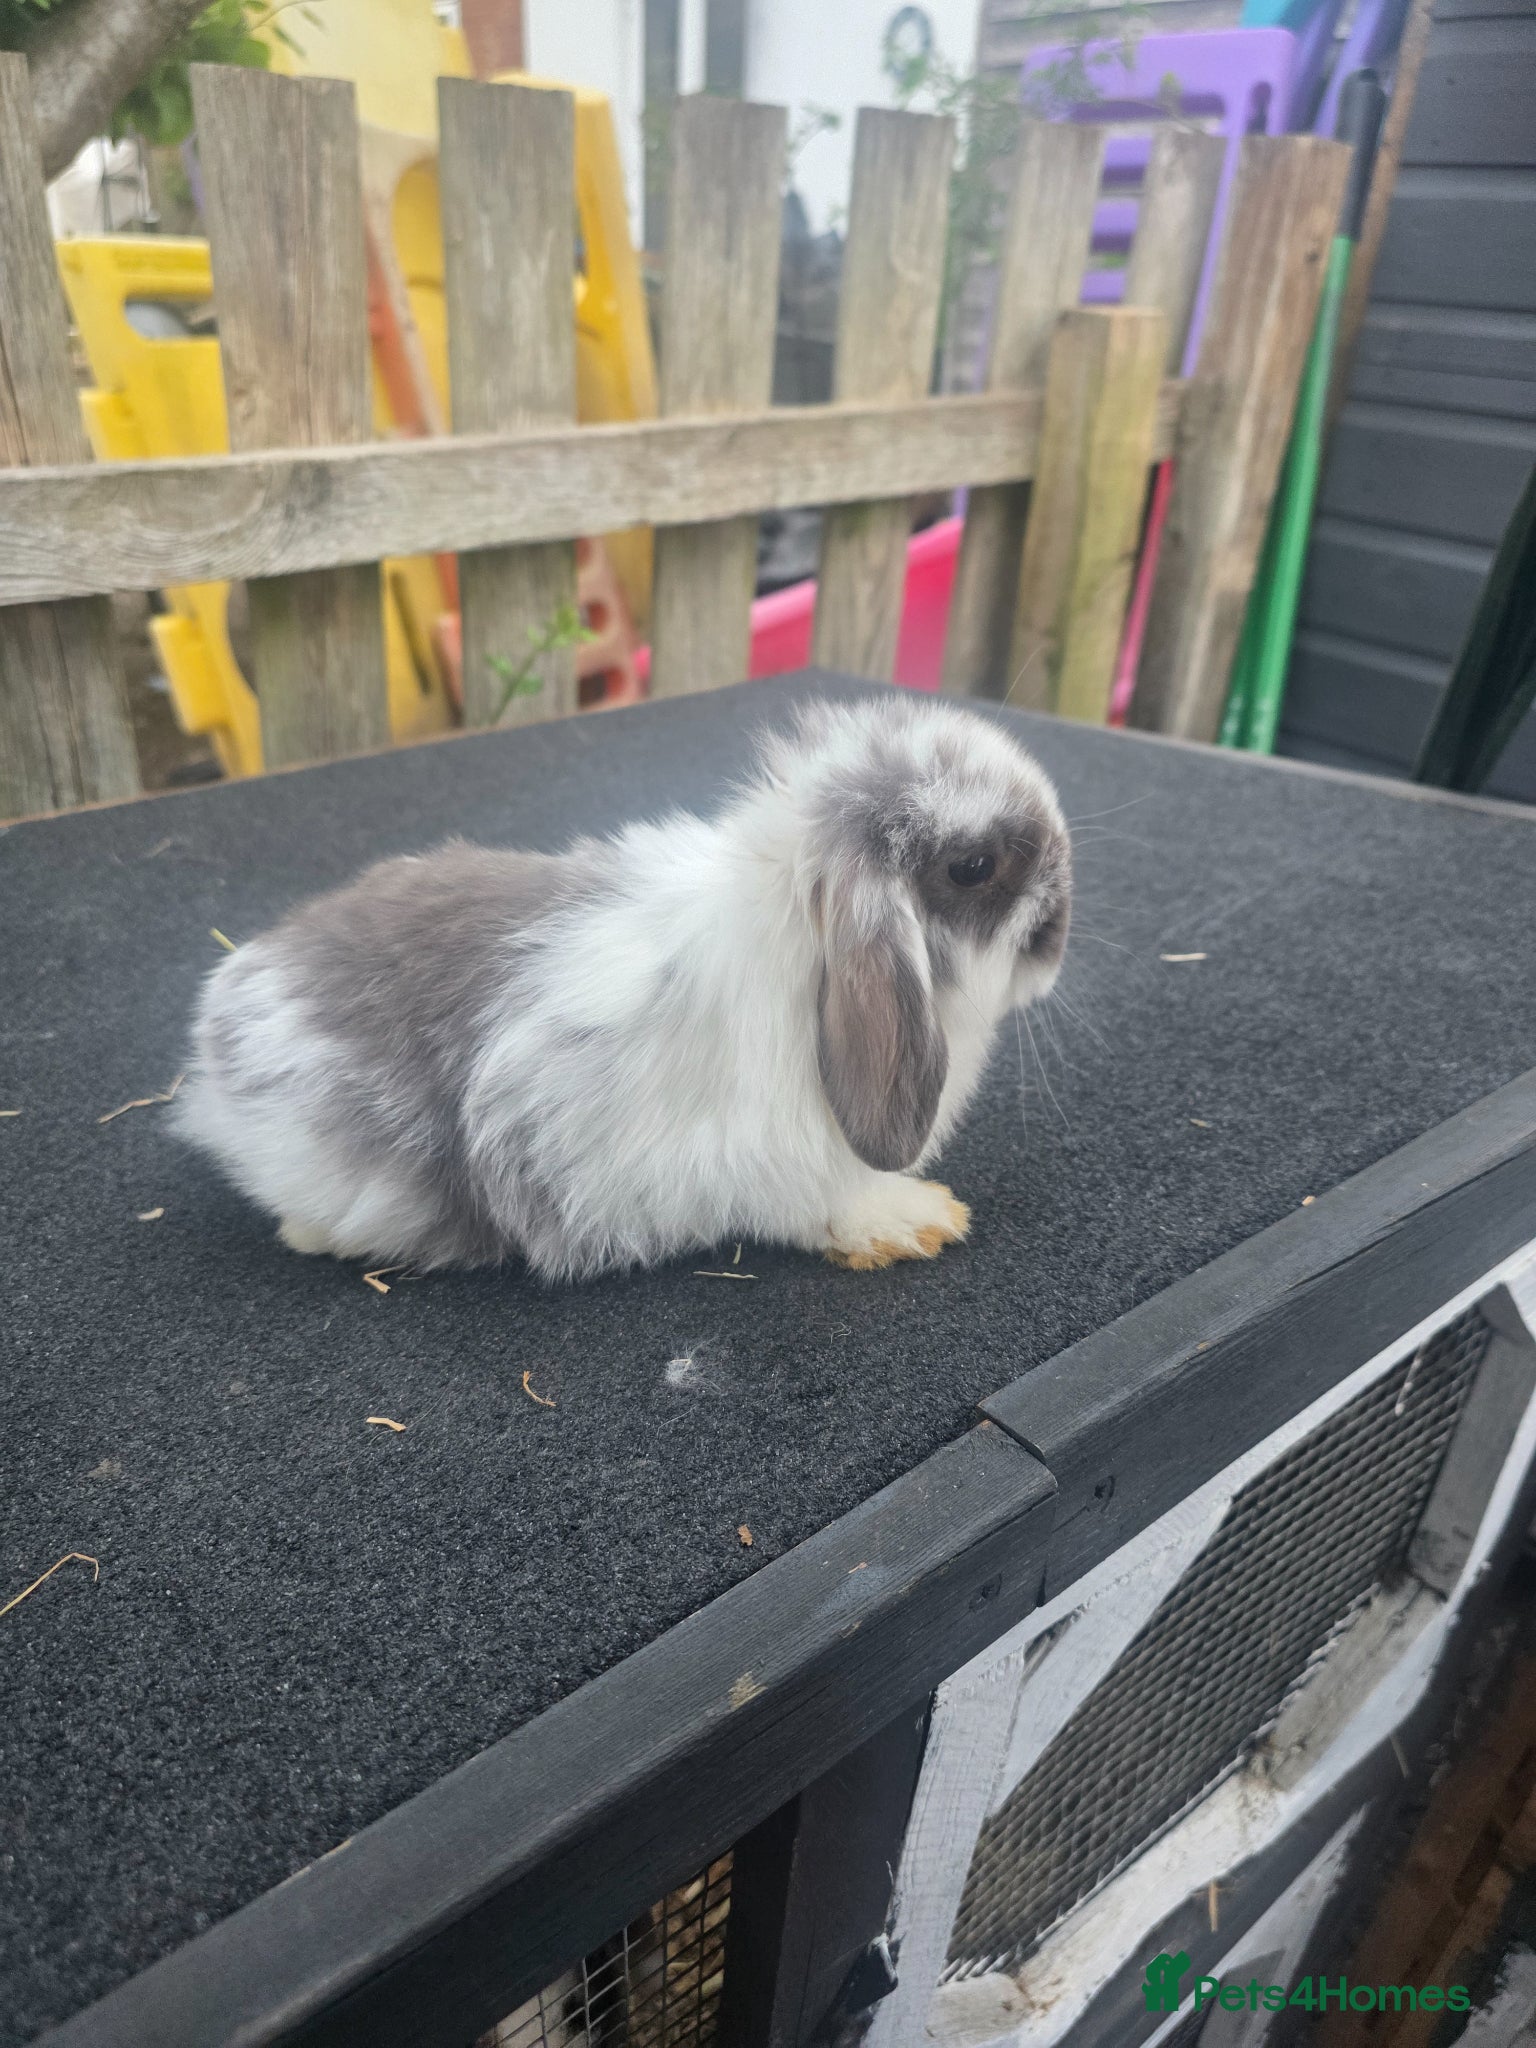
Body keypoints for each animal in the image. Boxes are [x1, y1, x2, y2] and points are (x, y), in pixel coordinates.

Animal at [175, 695, 1071, 1282]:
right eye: (973, 866)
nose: (1057, 936)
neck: (799, 945)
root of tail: (225, 1003)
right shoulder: (778, 1159)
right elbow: (834, 1204)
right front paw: (917, 1220)